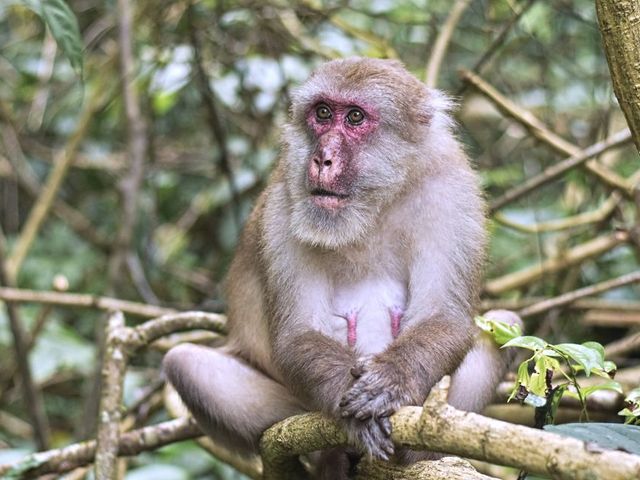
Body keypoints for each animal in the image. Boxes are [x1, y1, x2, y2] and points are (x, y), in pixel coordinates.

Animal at [163, 57, 521, 478]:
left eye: (354, 117)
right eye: (321, 113)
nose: (322, 158)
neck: (373, 207)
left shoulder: (453, 193)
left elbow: (444, 316)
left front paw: (389, 382)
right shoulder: (284, 208)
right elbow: (300, 332)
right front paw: (353, 412)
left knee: (506, 322)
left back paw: (416, 455)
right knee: (185, 362)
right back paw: (331, 456)